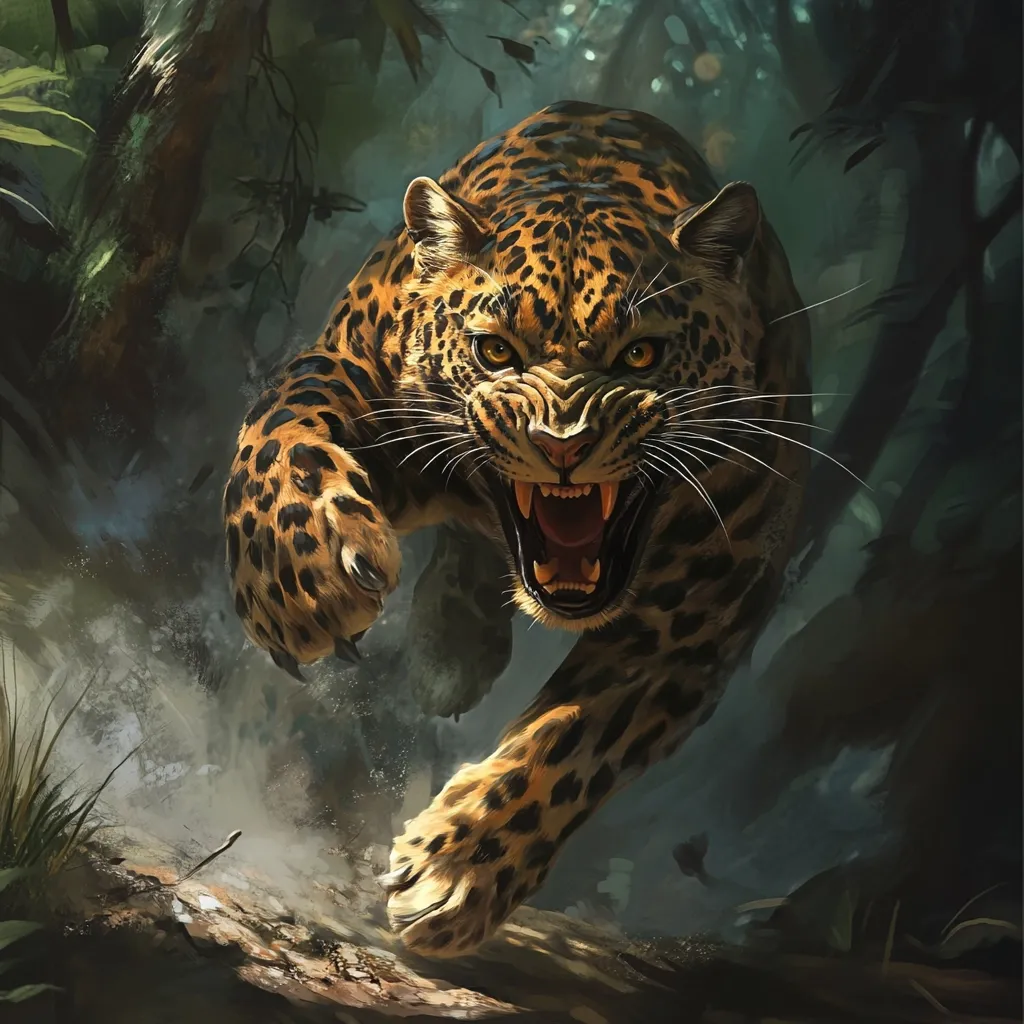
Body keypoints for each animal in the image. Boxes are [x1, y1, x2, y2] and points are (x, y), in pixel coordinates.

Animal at [223, 100, 811, 958]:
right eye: (495, 350)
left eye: (642, 355)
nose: (561, 443)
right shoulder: (352, 369)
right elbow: (281, 430)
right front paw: (300, 582)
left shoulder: (699, 613)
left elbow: (574, 740)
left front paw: (455, 870)